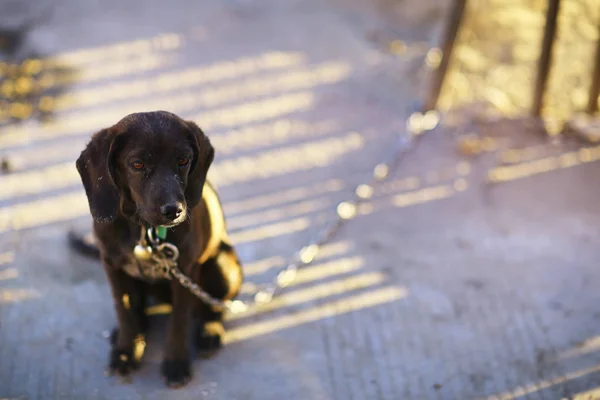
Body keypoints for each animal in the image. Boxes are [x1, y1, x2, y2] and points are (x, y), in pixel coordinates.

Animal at [76, 110, 243, 388]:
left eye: (183, 160)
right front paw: (126, 351)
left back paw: (209, 331)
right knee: (137, 308)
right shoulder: (111, 265)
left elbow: (179, 321)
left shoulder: (184, 271)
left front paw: (176, 362)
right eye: (137, 164)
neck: (144, 232)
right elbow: (124, 310)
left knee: (214, 307)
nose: (174, 210)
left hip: (222, 266)